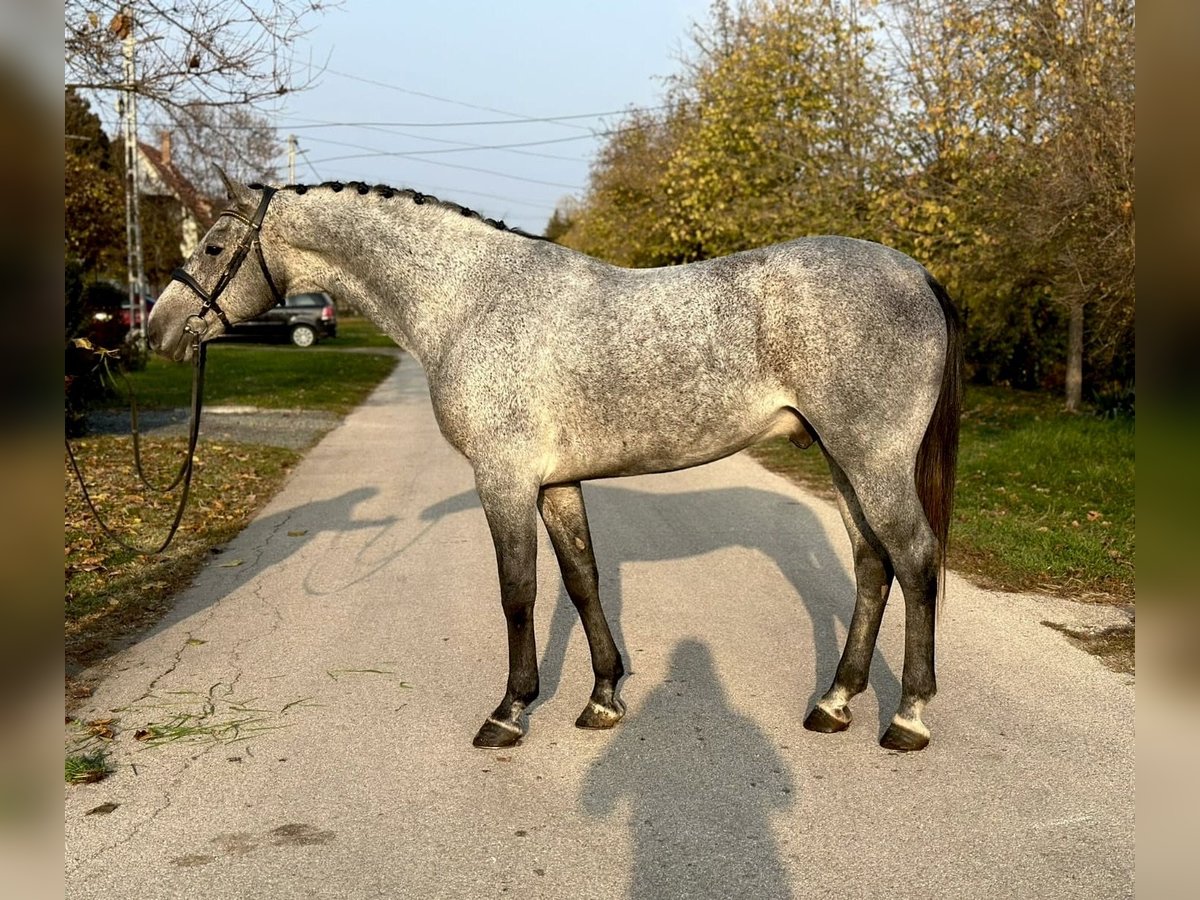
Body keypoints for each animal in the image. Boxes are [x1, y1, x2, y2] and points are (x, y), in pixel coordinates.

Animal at [145, 176, 960, 753]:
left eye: (213, 247)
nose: (157, 330)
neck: (469, 298)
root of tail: (917, 274)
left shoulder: (503, 481)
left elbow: (518, 592)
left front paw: (509, 712)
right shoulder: (556, 483)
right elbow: (581, 578)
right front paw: (603, 698)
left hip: (872, 458)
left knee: (915, 560)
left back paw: (908, 717)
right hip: (842, 459)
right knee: (872, 564)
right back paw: (834, 703)